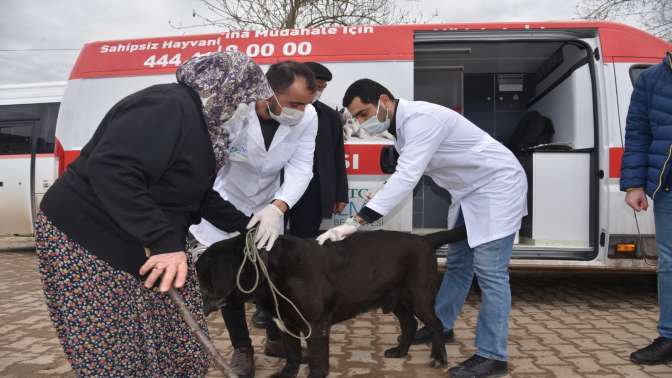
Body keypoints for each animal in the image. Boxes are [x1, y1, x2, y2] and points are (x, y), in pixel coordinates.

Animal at [197, 227, 464, 378]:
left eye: (203, 275)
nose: (190, 285)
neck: (272, 269)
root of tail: (425, 240)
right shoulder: (286, 324)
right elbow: (293, 355)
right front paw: (286, 374)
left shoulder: (315, 325)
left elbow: (316, 358)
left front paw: (315, 375)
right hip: (397, 299)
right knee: (409, 324)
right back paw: (400, 351)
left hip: (419, 296)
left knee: (436, 324)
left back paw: (439, 358)